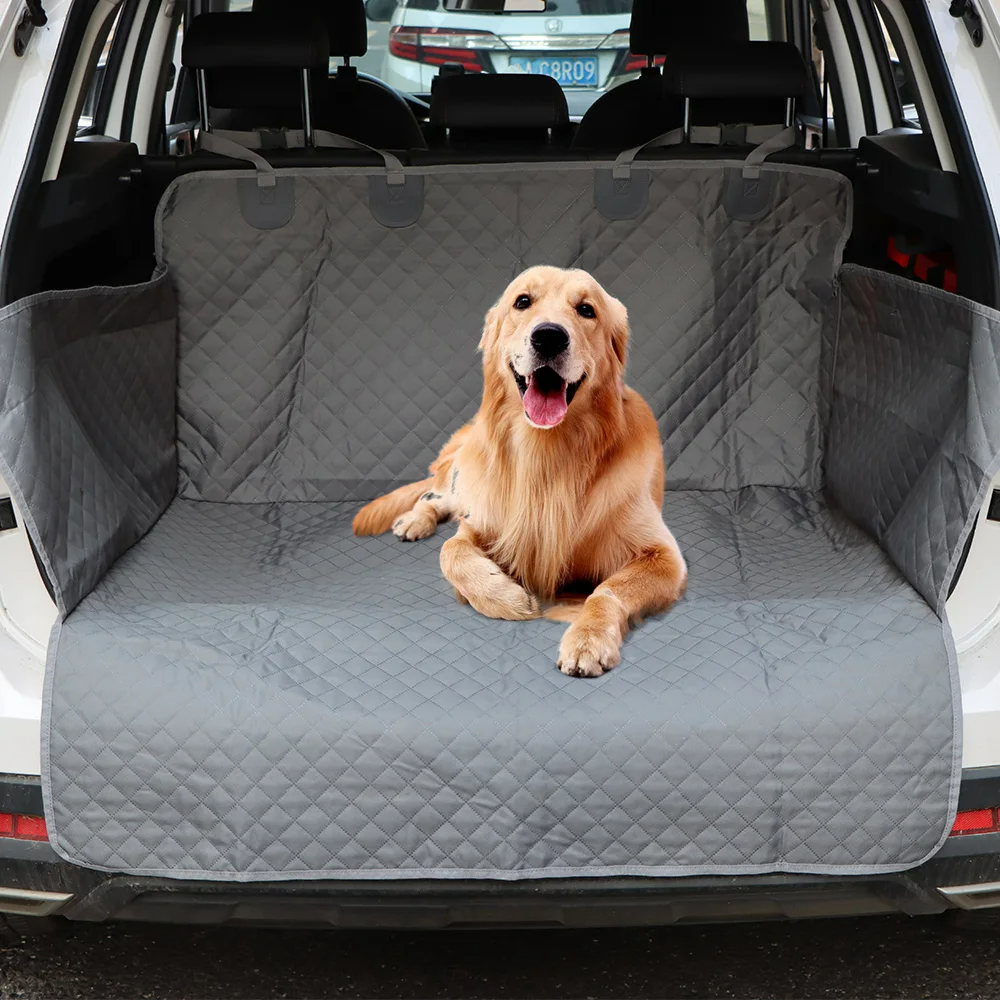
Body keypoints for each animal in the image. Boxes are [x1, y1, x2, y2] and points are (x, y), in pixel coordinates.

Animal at [354, 262, 688, 676]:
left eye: (587, 309)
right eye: (523, 301)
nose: (548, 337)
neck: (546, 455)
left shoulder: (663, 555)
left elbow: (608, 589)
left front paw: (587, 637)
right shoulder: (482, 521)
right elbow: (451, 550)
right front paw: (507, 597)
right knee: (435, 495)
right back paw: (415, 520)